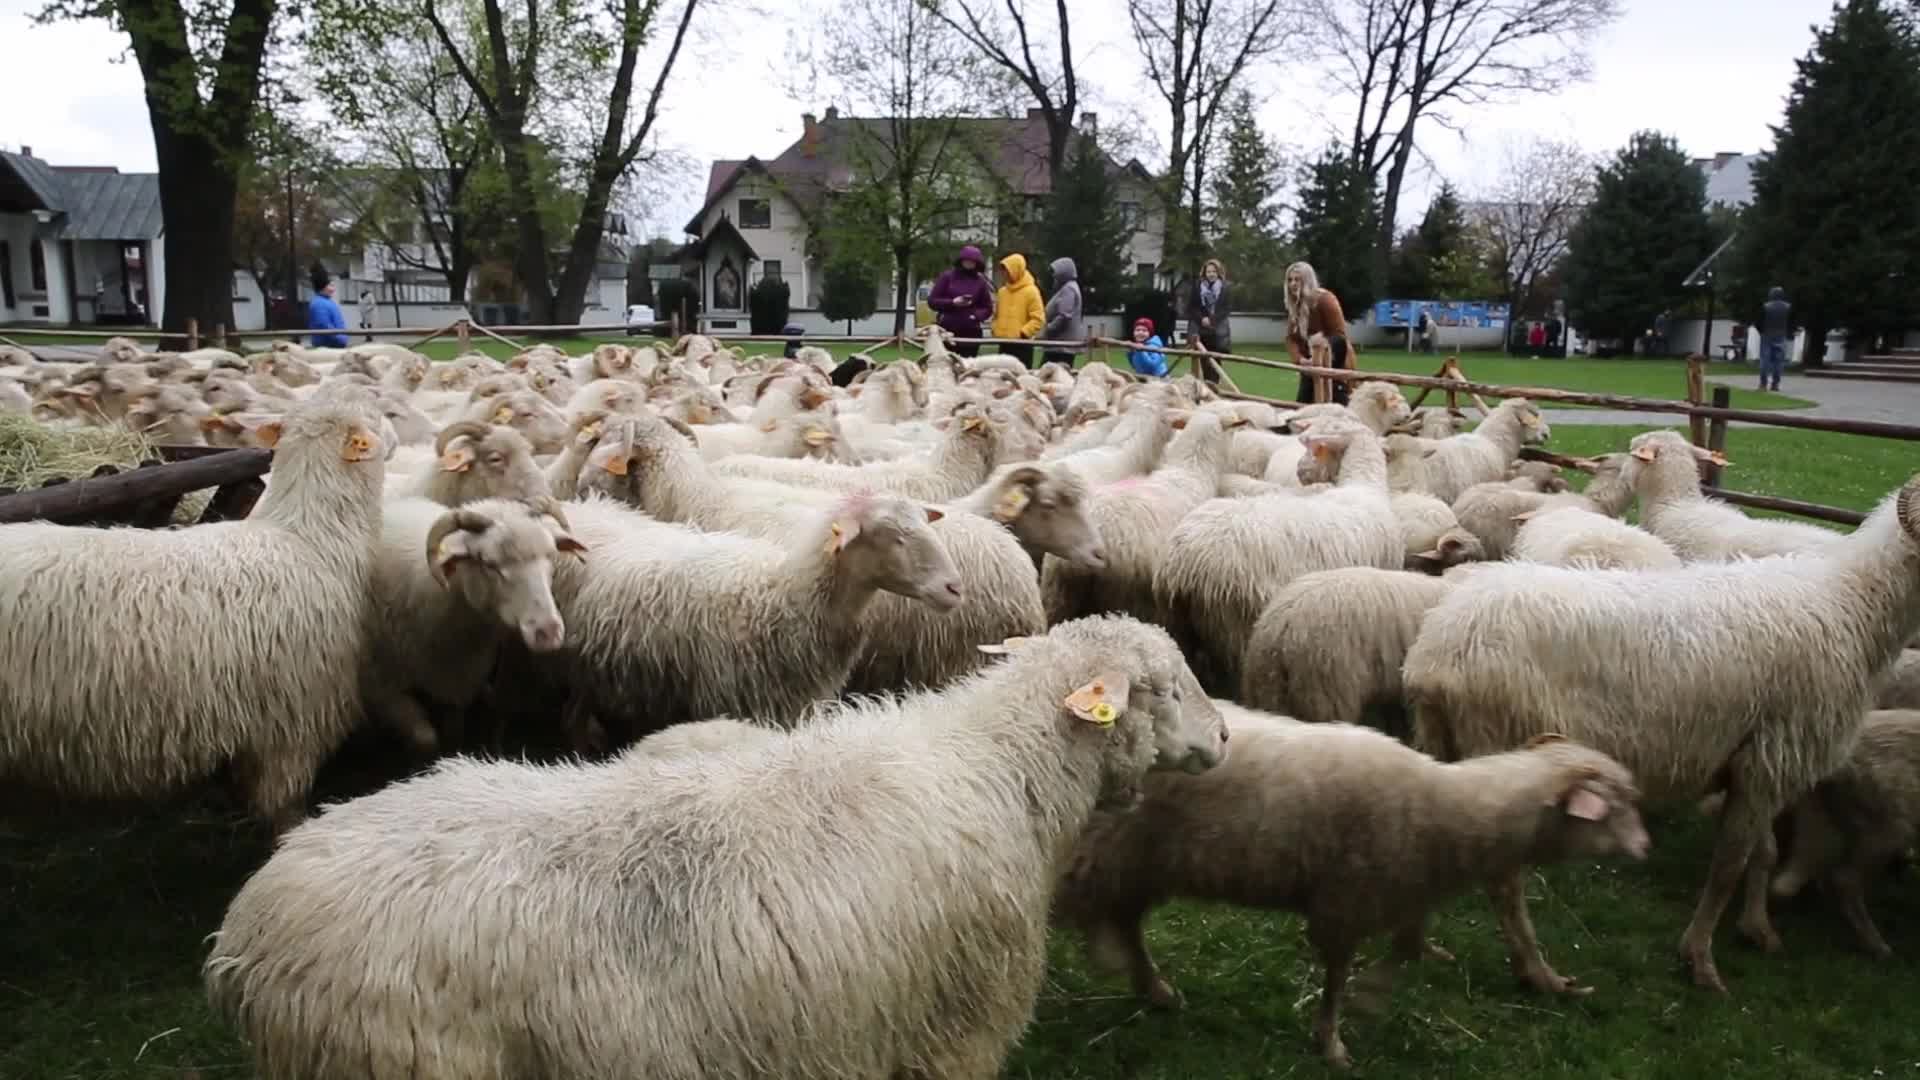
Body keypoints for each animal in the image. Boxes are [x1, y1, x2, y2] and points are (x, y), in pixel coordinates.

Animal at [1054, 710, 1646, 1069]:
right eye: (1615, 806)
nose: (1646, 848)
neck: (1446, 809)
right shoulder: (1347, 897)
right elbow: (1338, 975)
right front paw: (1336, 1035)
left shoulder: (1398, 890)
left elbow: (1408, 946)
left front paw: (1379, 990)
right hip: (1104, 852)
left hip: (1137, 863)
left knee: (1125, 922)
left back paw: (1151, 987)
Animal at [1154, 420, 1403, 694]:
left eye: (1315, 448)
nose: (1299, 470)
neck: (1363, 486)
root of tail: (1187, 565)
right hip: (1235, 628)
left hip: (1176, 624)